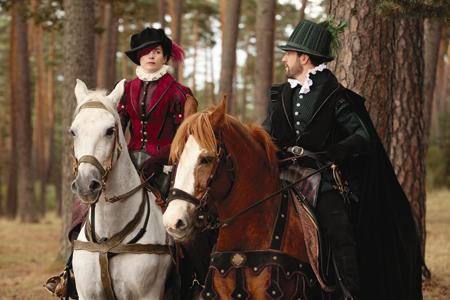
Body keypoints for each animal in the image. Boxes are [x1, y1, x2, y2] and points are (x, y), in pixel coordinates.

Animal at [70, 79, 172, 300]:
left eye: (110, 130)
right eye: (73, 131)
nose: (86, 185)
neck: (108, 236)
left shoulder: (148, 295)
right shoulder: (86, 294)